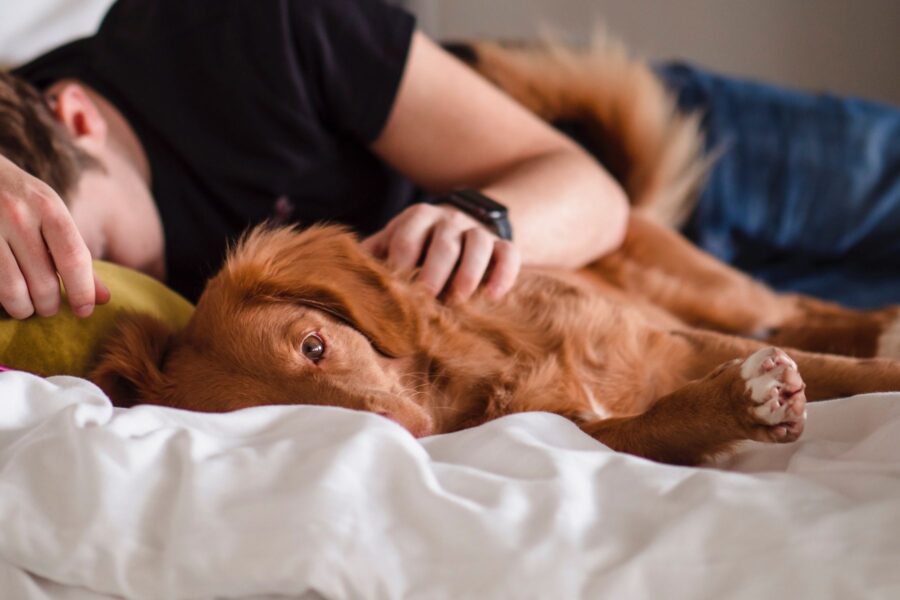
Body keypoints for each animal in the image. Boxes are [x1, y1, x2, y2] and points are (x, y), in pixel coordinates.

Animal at [88, 39, 900, 466]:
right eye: (281, 420)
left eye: (315, 345)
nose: (412, 437)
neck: (481, 369)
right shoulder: (581, 428)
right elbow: (659, 421)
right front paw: (737, 403)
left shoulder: (674, 337)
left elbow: (854, 375)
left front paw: (871, 370)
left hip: (710, 290)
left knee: (796, 307)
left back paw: (881, 322)